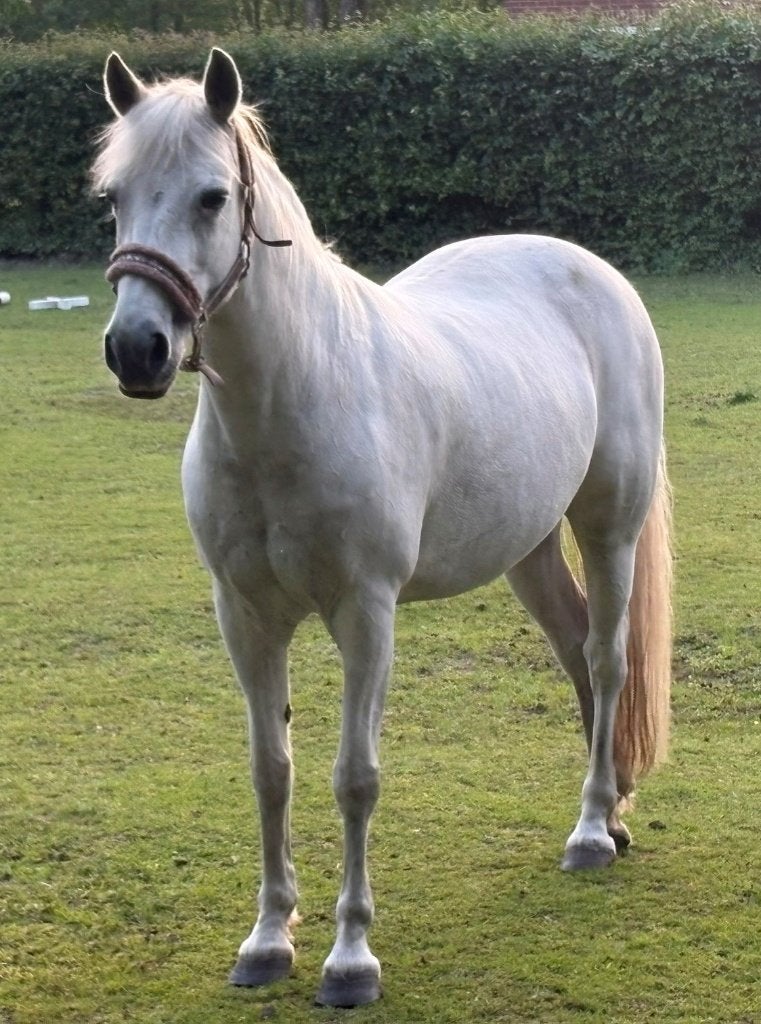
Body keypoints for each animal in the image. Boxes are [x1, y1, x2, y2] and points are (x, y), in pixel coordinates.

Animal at [92, 48, 672, 1008]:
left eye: (212, 197)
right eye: (113, 196)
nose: (138, 349)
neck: (294, 400)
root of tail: (592, 273)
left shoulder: (366, 613)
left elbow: (354, 778)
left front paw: (350, 958)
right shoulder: (244, 616)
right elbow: (271, 771)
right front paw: (267, 940)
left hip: (608, 526)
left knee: (604, 657)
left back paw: (591, 831)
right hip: (527, 550)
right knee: (573, 648)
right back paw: (613, 810)